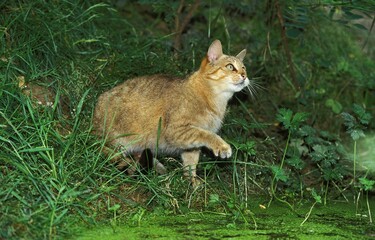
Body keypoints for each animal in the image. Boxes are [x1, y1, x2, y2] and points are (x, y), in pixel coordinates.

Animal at [93, 40, 250, 185]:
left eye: (244, 68)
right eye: (230, 67)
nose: (244, 76)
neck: (214, 99)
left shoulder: (190, 144)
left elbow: (191, 163)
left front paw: (192, 181)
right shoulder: (177, 131)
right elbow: (208, 135)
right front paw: (221, 146)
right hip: (120, 141)